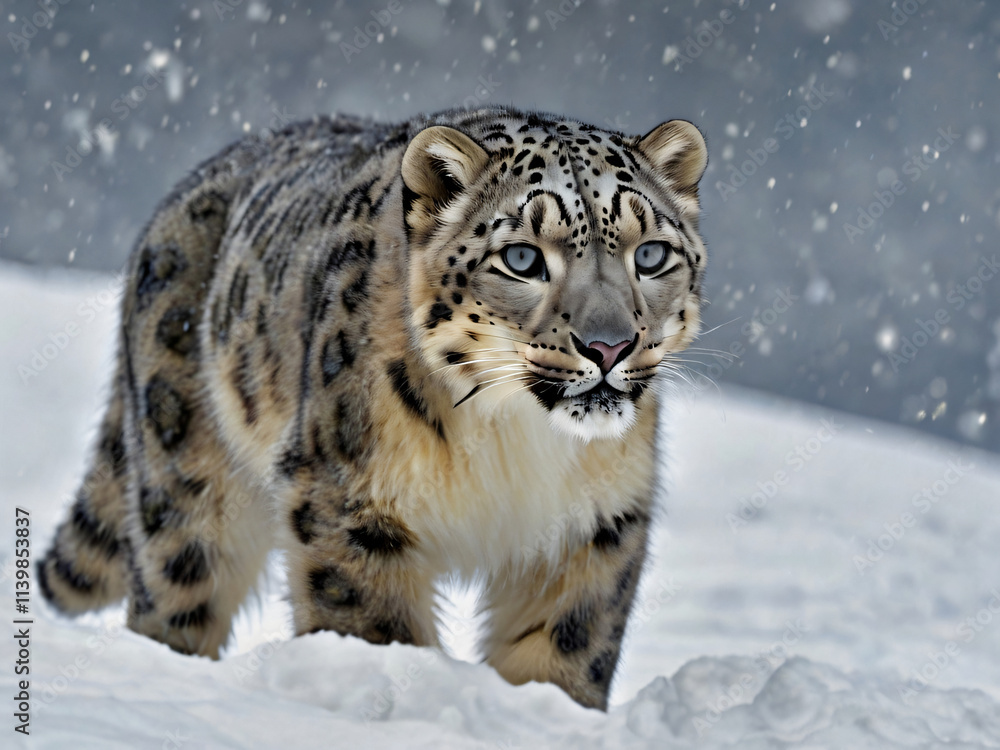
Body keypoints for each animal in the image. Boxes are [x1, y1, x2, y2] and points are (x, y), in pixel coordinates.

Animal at [38, 105, 708, 710]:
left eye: (651, 255)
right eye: (522, 258)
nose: (609, 346)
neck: (517, 441)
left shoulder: (597, 522)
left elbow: (567, 647)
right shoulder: (349, 502)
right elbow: (372, 624)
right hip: (186, 490)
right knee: (176, 587)